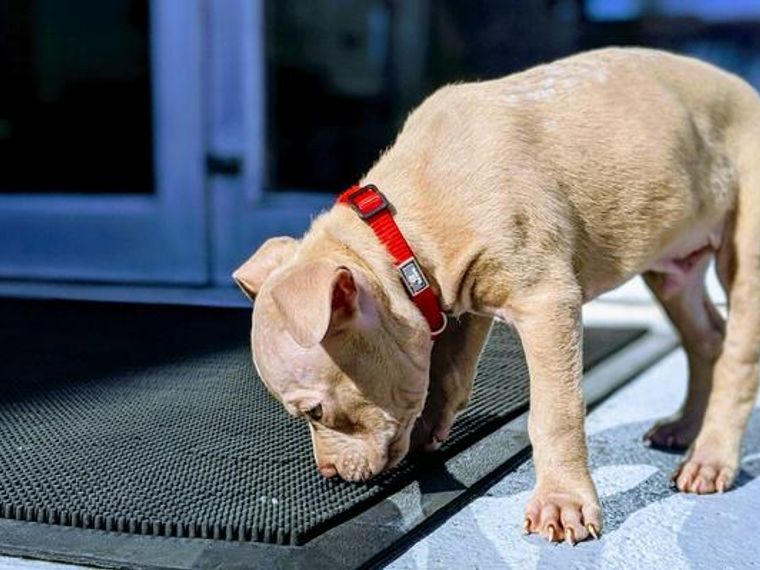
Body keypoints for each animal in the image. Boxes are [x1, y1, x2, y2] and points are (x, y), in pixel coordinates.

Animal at [233, 48, 760, 540]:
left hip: (744, 252)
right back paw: (684, 428)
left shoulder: (547, 301)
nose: (329, 474)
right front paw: (428, 430)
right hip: (672, 269)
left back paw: (711, 457)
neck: (398, 232)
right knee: (706, 339)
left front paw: (562, 502)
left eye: (315, 411)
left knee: (736, 357)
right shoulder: (459, 295)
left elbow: (553, 412)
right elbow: (447, 372)